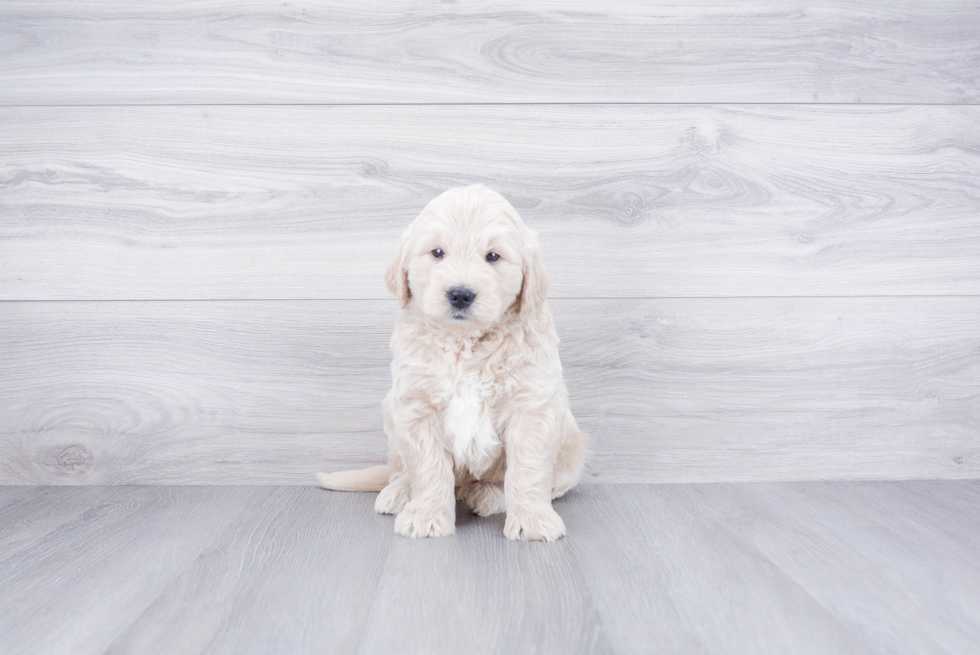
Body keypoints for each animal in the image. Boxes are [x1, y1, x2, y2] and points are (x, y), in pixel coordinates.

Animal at [318, 186, 584, 544]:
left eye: (492, 257)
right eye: (437, 252)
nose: (460, 294)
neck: (465, 343)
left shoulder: (532, 405)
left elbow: (527, 469)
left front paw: (532, 519)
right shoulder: (417, 404)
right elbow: (428, 466)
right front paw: (427, 516)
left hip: (572, 446)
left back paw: (487, 494)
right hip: (391, 413)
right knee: (402, 469)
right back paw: (401, 491)